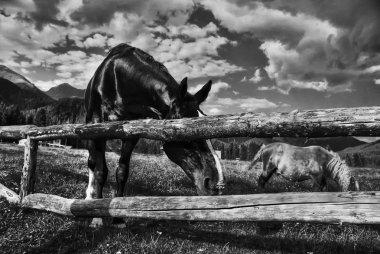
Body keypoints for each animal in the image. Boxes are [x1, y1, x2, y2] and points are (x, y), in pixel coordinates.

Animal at [84, 43, 224, 226]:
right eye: (186, 131)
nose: (215, 184)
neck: (119, 81)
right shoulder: (98, 128)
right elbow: (101, 172)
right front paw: (97, 217)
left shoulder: (131, 135)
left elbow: (122, 172)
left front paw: (118, 218)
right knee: (92, 163)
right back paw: (89, 198)